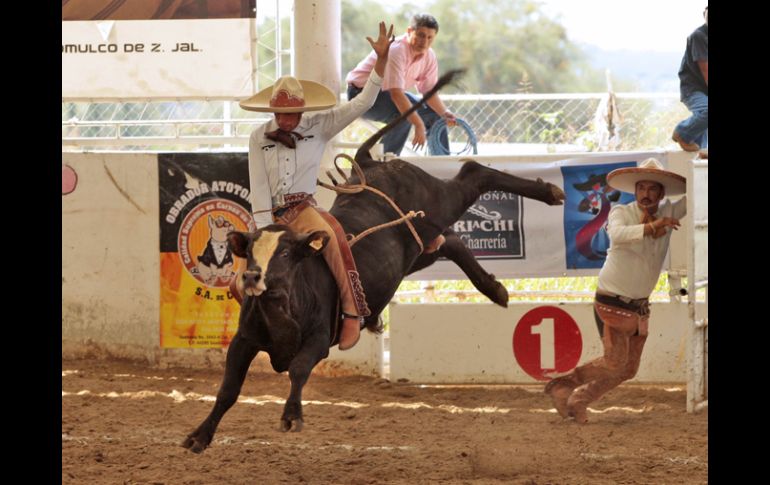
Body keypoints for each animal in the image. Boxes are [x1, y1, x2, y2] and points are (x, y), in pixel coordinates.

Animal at [182, 70, 565, 453]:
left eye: (287, 254)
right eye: (249, 252)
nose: (252, 277)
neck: (283, 310)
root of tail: (368, 163)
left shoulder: (319, 340)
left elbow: (299, 369)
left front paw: (291, 416)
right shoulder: (243, 342)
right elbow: (228, 390)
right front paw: (199, 435)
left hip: (438, 204)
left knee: (473, 173)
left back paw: (550, 192)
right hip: (417, 246)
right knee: (451, 241)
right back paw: (495, 289)